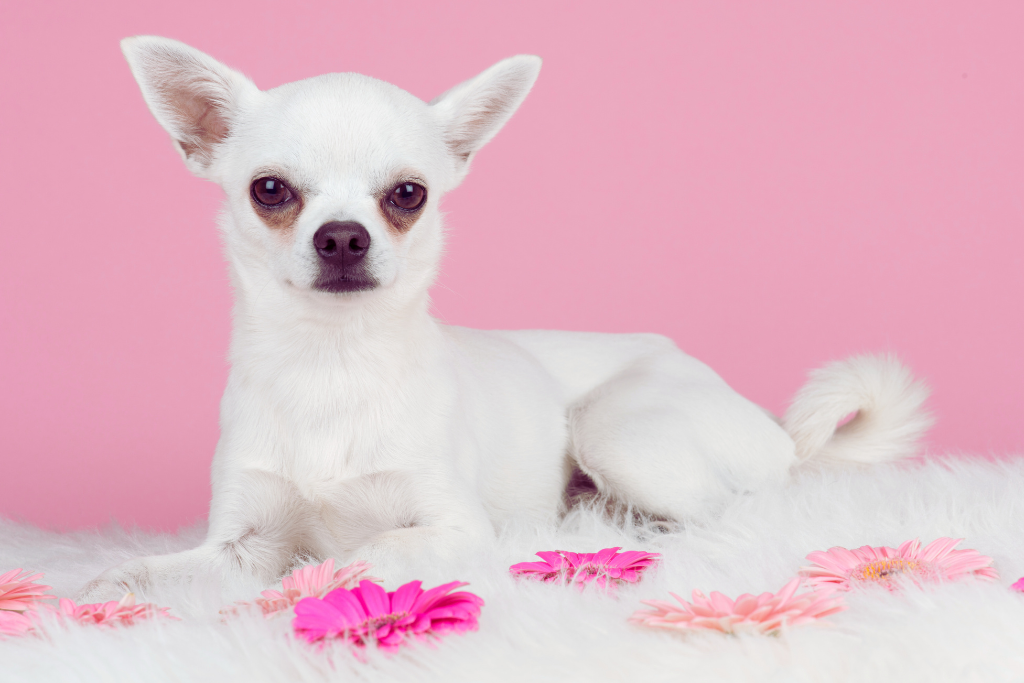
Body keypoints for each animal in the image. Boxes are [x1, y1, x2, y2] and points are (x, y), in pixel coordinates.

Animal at [80, 36, 931, 601]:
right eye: (269, 190)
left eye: (408, 194)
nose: (344, 236)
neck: (334, 360)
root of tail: (775, 431)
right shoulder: (241, 542)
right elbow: (155, 573)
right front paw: (108, 583)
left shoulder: (452, 527)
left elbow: (383, 545)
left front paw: (329, 572)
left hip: (619, 426)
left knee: (737, 511)